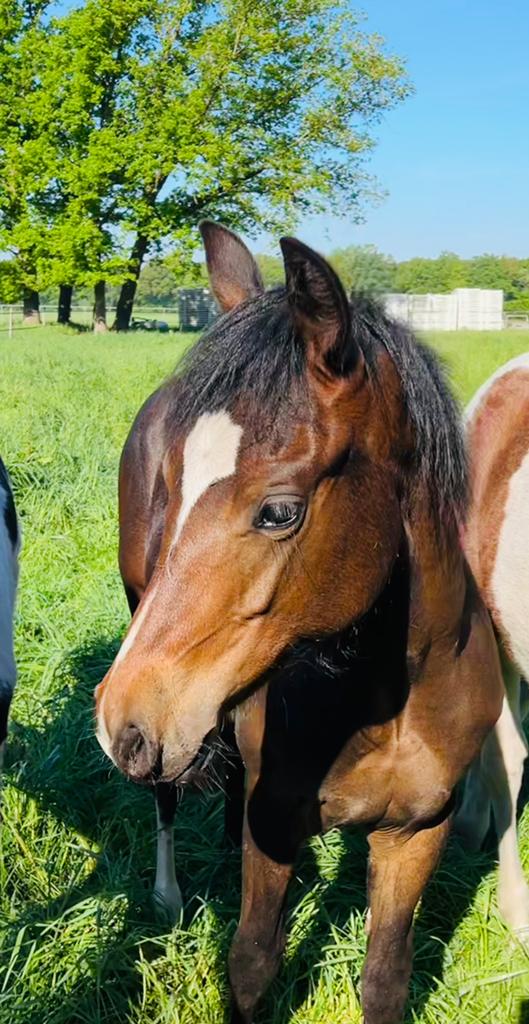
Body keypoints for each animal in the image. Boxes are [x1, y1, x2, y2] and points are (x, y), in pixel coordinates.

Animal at [95, 222, 503, 1024]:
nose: (120, 720)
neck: (389, 699)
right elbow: (252, 965)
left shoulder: (416, 833)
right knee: (166, 793)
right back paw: (168, 894)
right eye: (170, 489)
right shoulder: (275, 823)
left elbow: (385, 979)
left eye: (279, 510)